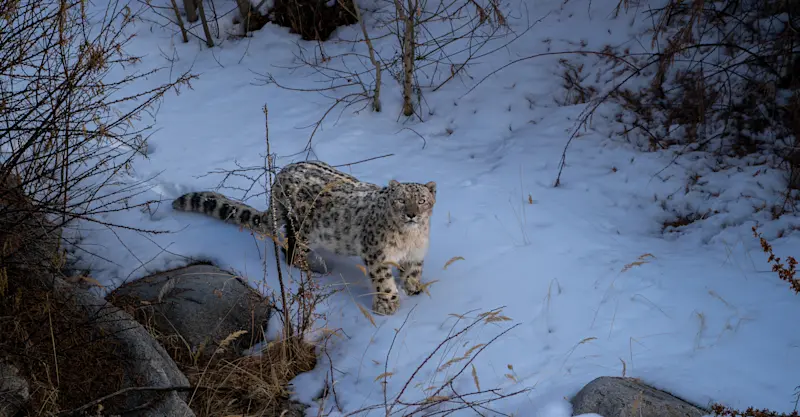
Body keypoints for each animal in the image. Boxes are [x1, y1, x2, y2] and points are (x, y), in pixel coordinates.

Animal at [171, 160, 437, 316]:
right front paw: (388, 304)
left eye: (422, 200)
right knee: (291, 252)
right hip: (302, 228)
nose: (411, 214)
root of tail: (280, 174)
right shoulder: (377, 253)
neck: (409, 238)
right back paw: (318, 267)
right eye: (401, 200)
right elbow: (383, 280)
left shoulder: (416, 254)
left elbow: (413, 272)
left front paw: (414, 289)